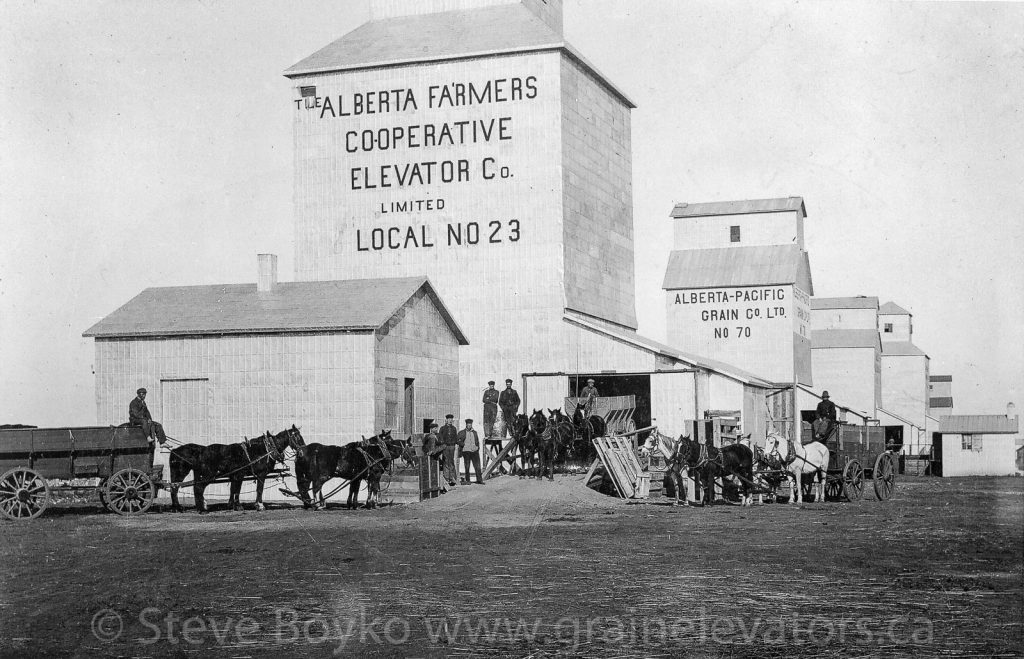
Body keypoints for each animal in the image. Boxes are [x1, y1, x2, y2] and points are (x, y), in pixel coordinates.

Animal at [167, 425, 301, 511]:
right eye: (298, 437)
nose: (302, 449)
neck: (264, 450)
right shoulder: (258, 474)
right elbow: (255, 489)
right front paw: (258, 505)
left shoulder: (235, 475)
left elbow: (233, 490)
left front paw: (232, 505)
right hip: (202, 474)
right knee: (194, 487)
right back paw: (199, 508)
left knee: (182, 487)